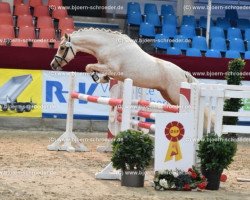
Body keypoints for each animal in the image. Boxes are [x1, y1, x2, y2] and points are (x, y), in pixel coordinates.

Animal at [50, 29, 198, 106]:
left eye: (62, 48)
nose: (53, 64)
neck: (109, 45)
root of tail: (183, 73)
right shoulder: (106, 68)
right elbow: (93, 68)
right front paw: (102, 79)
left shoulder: (112, 68)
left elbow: (88, 66)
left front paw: (97, 77)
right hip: (167, 95)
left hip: (175, 95)